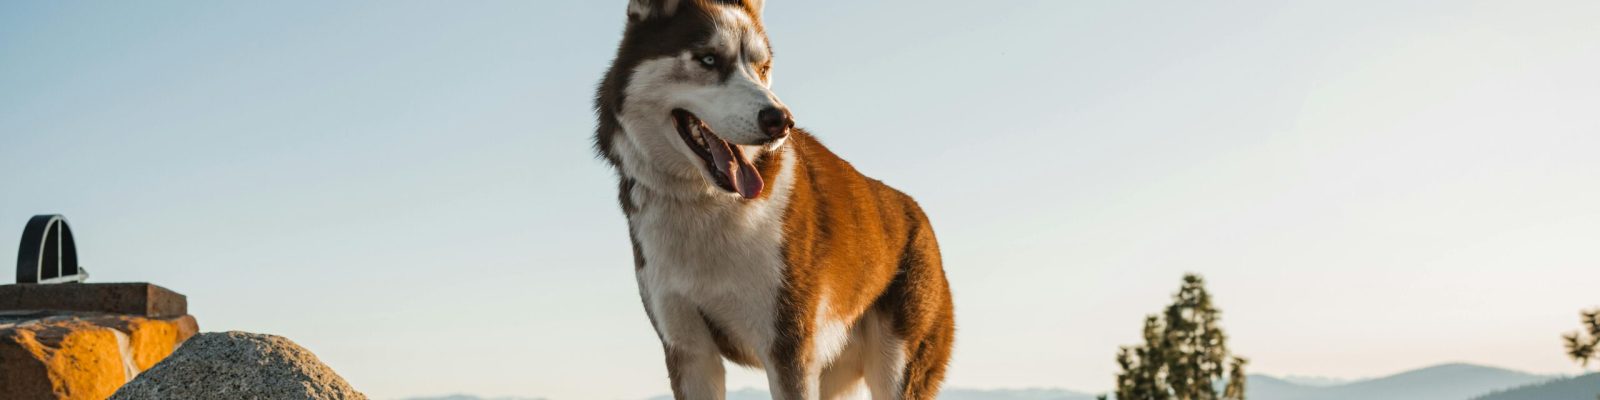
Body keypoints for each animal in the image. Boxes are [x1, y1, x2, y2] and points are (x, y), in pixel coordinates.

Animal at [598, 1, 947, 398]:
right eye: (708, 59)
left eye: (762, 68)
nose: (781, 120)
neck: (706, 203)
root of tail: (916, 213)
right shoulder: (688, 350)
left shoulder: (787, 346)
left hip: (894, 367)